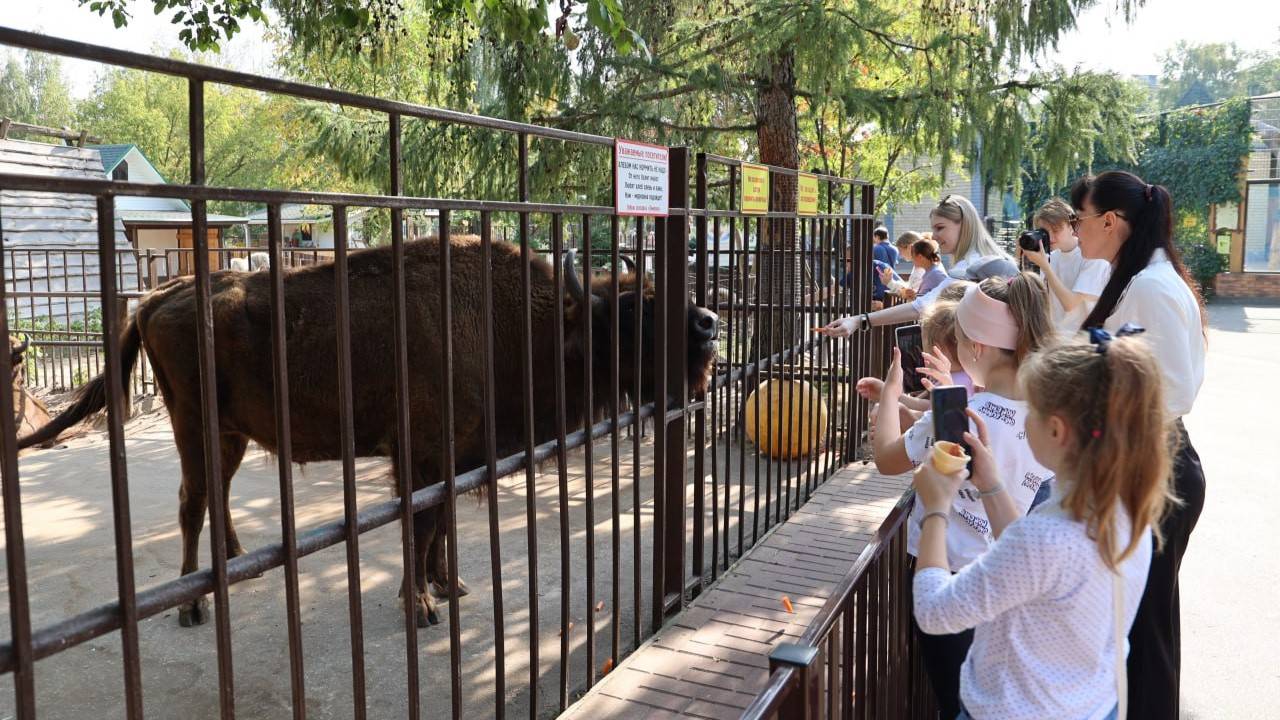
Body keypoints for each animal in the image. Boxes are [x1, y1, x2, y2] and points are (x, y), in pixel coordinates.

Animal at [20, 234, 721, 622]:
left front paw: (449, 584)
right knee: (192, 501)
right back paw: (193, 604)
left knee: (215, 494)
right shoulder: (424, 456)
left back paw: (239, 563)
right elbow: (422, 523)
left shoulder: (457, 457)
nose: (710, 325)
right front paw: (423, 604)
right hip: (194, 427)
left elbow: (442, 522)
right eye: (636, 310)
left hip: (231, 435)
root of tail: (153, 299)